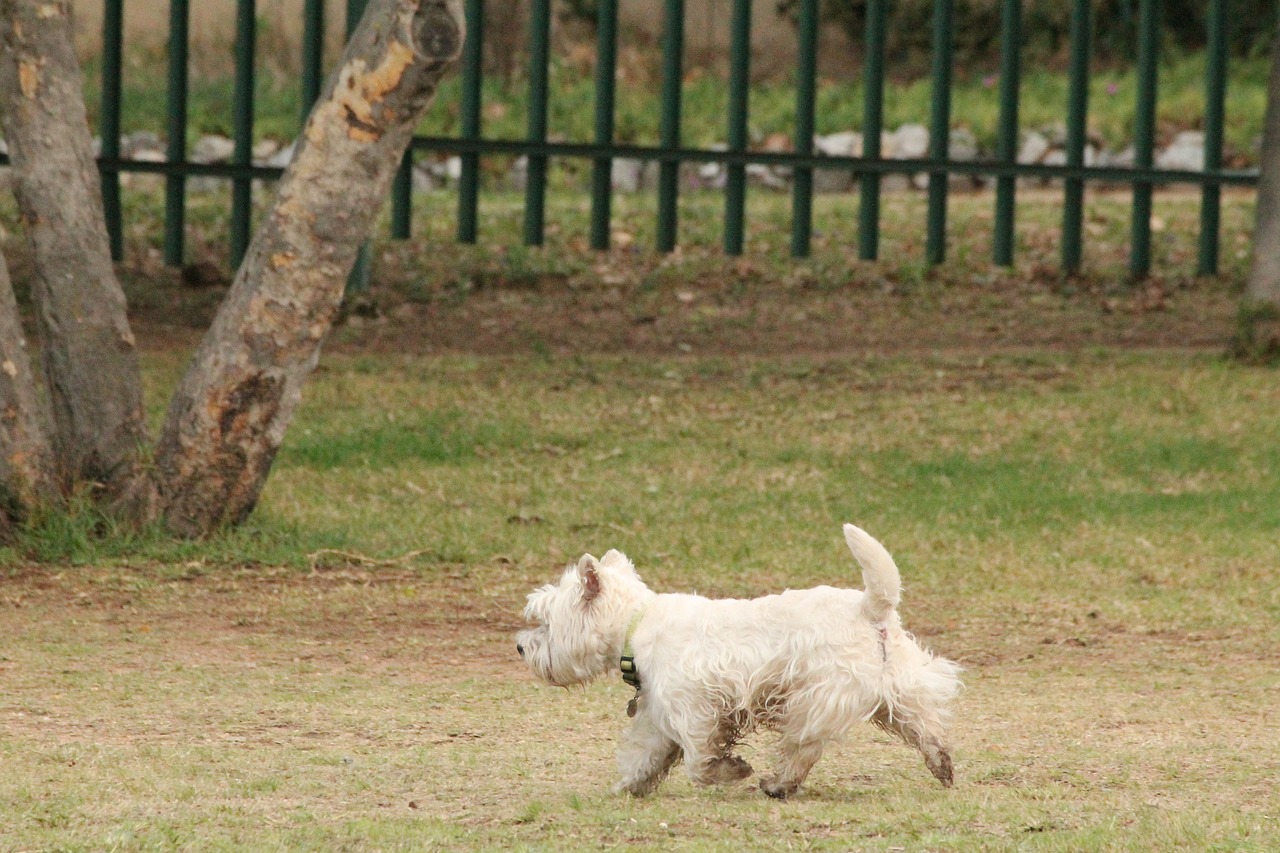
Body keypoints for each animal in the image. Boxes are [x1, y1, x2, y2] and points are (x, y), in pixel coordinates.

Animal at [512, 522, 962, 794]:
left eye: (545, 621)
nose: (520, 647)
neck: (637, 623)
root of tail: (871, 608)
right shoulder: (659, 713)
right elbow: (646, 753)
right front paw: (630, 786)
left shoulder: (696, 708)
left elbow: (698, 761)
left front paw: (731, 770)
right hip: (899, 689)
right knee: (926, 727)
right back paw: (943, 766)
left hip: (816, 698)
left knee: (802, 747)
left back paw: (777, 784)